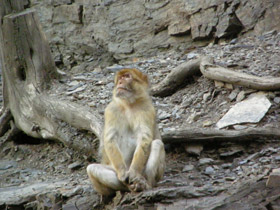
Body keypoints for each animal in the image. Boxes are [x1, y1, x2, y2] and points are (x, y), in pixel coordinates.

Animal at [87, 68, 165, 196]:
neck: (129, 104)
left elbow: (145, 139)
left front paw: (133, 173)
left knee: (157, 144)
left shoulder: (147, 109)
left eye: (127, 76)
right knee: (92, 168)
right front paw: (123, 173)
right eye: (119, 78)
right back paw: (126, 187)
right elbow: (110, 139)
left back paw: (143, 183)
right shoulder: (111, 110)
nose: (120, 83)